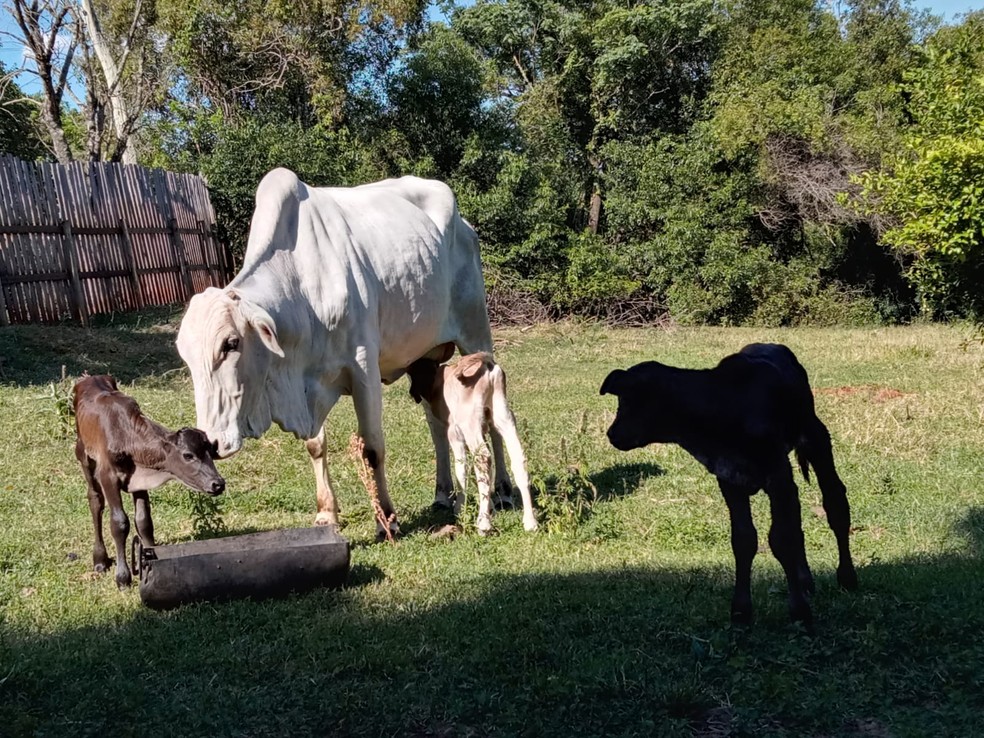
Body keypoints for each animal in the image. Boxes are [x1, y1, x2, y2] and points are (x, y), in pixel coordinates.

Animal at [73, 374, 225, 588]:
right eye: (188, 455)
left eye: (211, 451)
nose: (218, 483)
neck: (127, 435)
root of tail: (88, 378)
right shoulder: (107, 476)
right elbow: (119, 523)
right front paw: (123, 577)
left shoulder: (139, 480)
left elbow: (144, 521)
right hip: (83, 454)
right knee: (95, 501)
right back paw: (100, 560)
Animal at [176, 168, 511, 538]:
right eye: (186, 357)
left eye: (231, 344)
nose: (211, 442)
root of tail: (465, 226)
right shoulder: (309, 383)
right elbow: (315, 445)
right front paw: (327, 513)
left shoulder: (363, 371)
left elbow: (372, 448)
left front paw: (387, 520)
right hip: (421, 359)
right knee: (436, 423)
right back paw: (442, 494)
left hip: (476, 334)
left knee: (493, 419)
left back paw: (503, 492)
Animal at [600, 343, 858, 627]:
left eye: (627, 400)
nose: (612, 434)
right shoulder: (730, 479)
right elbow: (744, 539)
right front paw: (741, 611)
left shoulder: (777, 475)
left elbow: (782, 538)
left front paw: (799, 612)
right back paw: (805, 581)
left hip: (815, 436)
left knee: (835, 502)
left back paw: (847, 578)